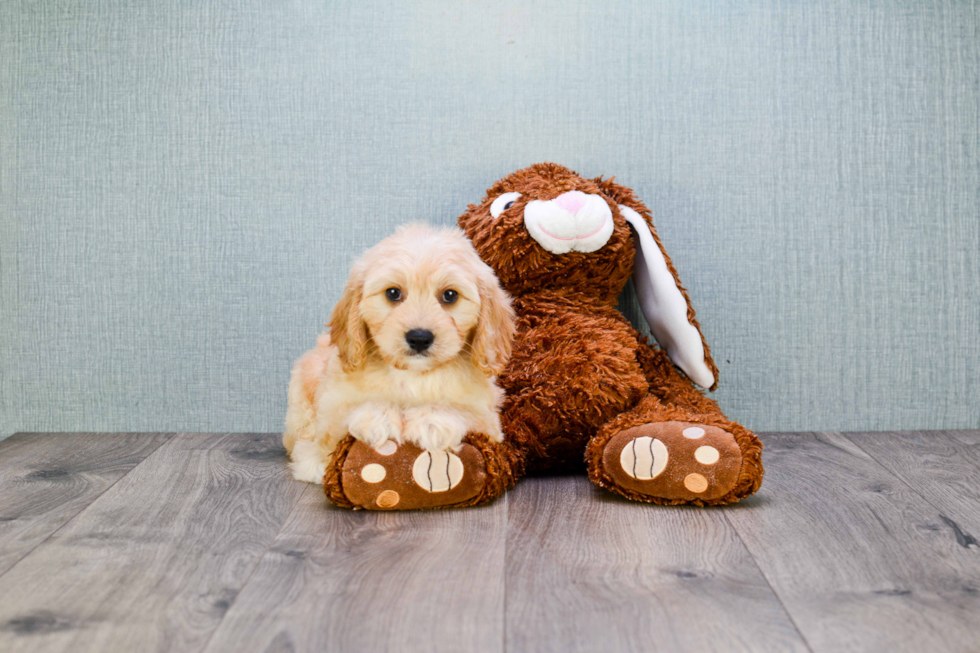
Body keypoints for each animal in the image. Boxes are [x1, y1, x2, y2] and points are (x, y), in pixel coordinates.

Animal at [282, 224, 512, 484]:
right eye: (393, 293)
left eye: (450, 295)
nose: (419, 337)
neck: (411, 374)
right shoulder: (332, 406)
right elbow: (341, 422)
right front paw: (379, 417)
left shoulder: (489, 422)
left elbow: (463, 412)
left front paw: (430, 420)